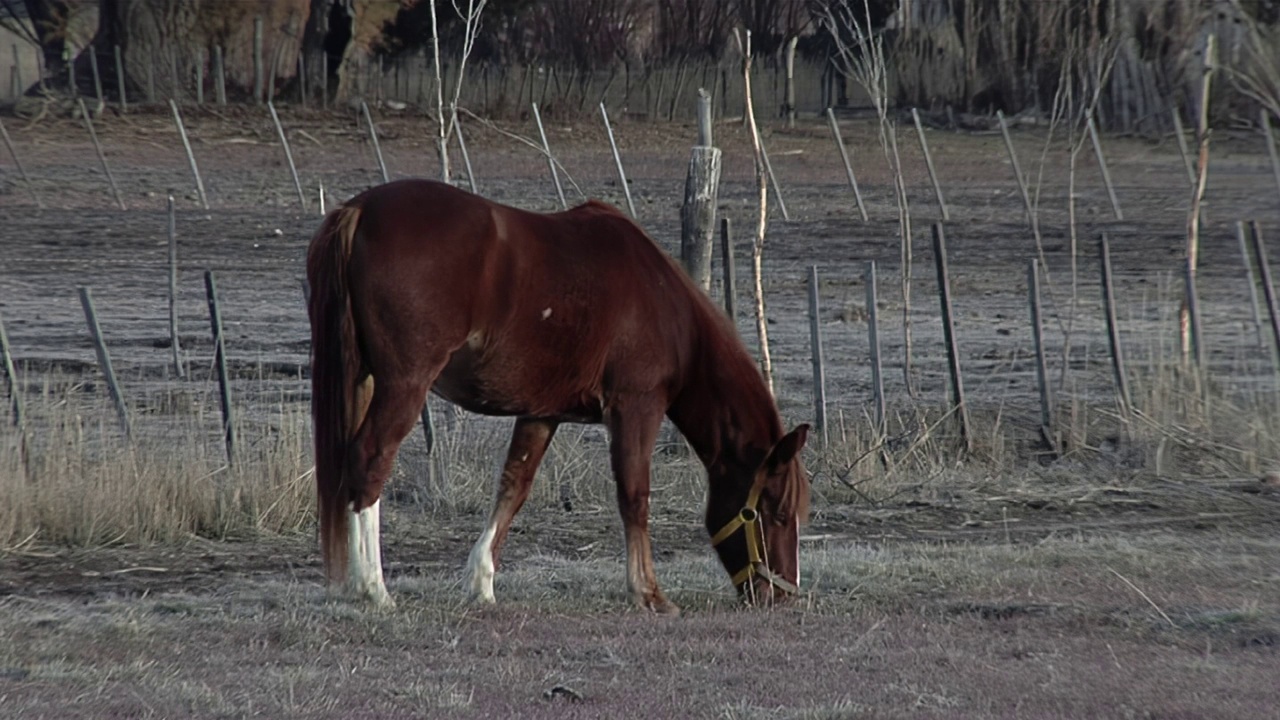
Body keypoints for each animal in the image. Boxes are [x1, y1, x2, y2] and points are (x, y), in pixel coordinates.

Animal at [309, 179, 808, 609]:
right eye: (777, 513)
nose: (782, 595)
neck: (665, 306)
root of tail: (361, 209)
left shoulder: (541, 412)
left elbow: (514, 487)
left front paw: (481, 583)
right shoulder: (636, 406)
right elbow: (635, 494)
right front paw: (648, 592)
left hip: (364, 379)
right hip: (404, 384)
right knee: (370, 461)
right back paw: (374, 589)